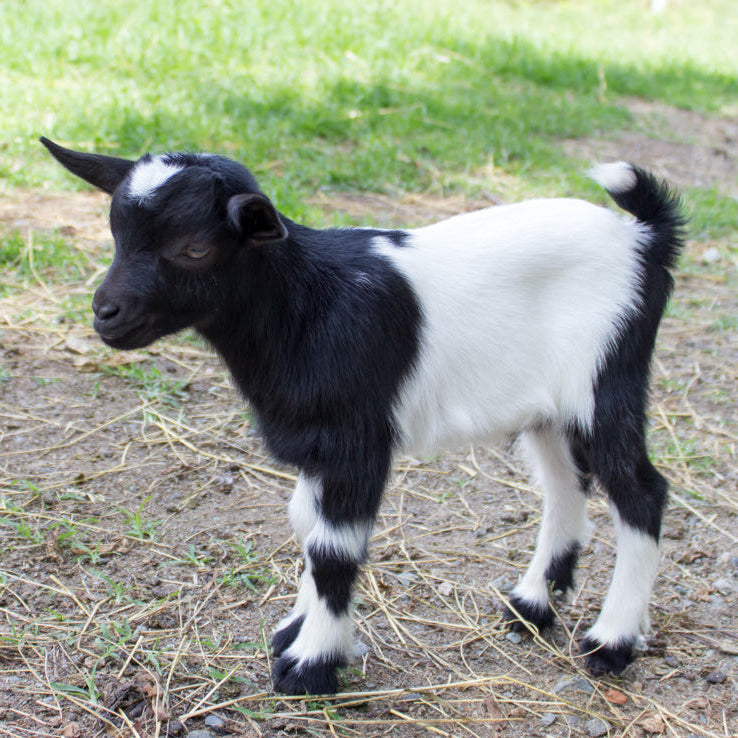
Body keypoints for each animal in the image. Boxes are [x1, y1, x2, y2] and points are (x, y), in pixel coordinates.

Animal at [41, 137, 685, 695]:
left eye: (195, 248)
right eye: (115, 234)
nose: (106, 314)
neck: (306, 303)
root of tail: (643, 239)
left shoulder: (357, 441)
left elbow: (334, 549)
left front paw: (311, 665)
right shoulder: (317, 445)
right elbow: (306, 524)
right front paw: (298, 630)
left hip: (606, 380)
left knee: (641, 494)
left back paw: (612, 642)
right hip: (549, 407)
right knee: (564, 486)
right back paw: (532, 605)